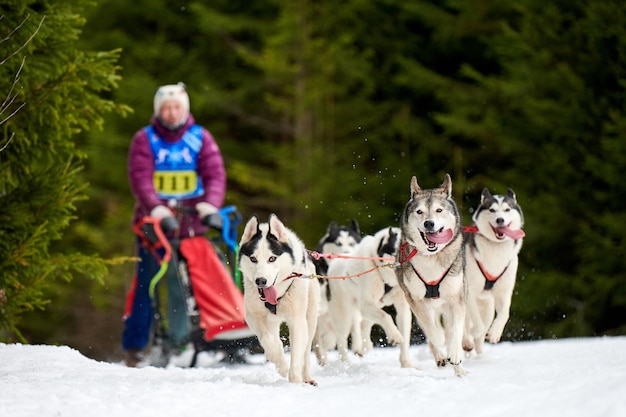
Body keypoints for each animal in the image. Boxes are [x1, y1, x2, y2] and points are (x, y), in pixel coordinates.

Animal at [238, 214, 320, 384]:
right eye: (253, 259)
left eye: (272, 258)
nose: (261, 281)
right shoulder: (253, 317)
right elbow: (268, 340)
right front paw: (280, 363)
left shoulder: (297, 320)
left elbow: (297, 353)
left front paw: (295, 381)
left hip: (310, 318)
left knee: (306, 350)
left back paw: (307, 377)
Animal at [326, 226, 414, 366]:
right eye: (395, 252)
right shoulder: (365, 305)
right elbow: (386, 316)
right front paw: (394, 336)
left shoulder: (403, 309)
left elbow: (404, 336)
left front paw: (406, 364)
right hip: (343, 315)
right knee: (342, 341)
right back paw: (346, 363)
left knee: (363, 326)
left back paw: (362, 348)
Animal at [392, 174, 466, 376]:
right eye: (419, 212)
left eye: (439, 210)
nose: (429, 223)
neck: (432, 256)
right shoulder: (415, 299)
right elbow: (431, 329)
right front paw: (439, 343)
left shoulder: (457, 298)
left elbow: (456, 329)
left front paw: (455, 353)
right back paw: (440, 356)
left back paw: (459, 369)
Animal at [460, 187, 524, 352]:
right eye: (492, 210)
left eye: (507, 209)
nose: (500, 220)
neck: (496, 247)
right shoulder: (470, 292)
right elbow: (477, 323)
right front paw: (477, 331)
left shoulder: (504, 292)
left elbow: (504, 314)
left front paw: (495, 333)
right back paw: (467, 340)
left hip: (487, 306)